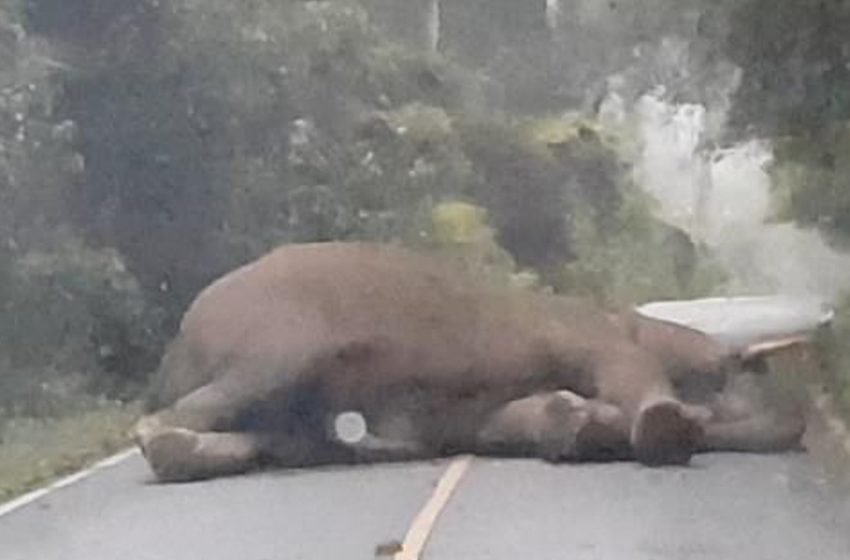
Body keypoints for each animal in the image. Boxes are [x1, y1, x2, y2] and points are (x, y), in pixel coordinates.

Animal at [134, 241, 820, 482]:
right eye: (749, 371)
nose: (804, 420)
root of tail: (176, 345)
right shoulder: (593, 340)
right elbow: (629, 378)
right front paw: (662, 426)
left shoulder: (483, 416)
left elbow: (531, 416)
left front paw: (582, 426)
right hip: (275, 348)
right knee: (163, 424)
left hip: (284, 408)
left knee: (264, 440)